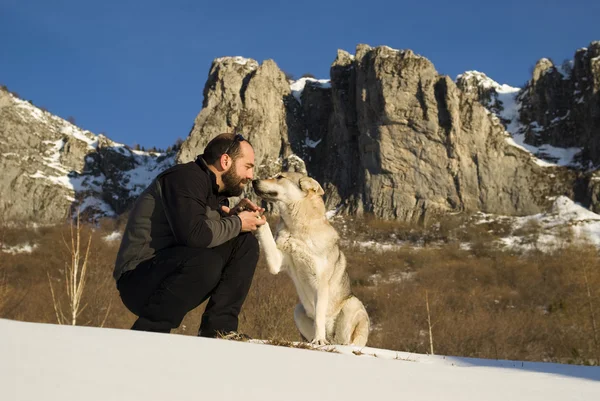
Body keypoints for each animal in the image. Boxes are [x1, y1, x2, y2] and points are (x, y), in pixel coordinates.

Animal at [250, 170, 370, 346]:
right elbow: (266, 235)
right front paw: (256, 213)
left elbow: (319, 317)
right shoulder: (276, 263)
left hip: (351, 305)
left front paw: (319, 340)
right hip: (298, 310)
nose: (253, 181)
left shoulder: (320, 283)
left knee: (345, 341)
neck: (296, 229)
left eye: (280, 177)